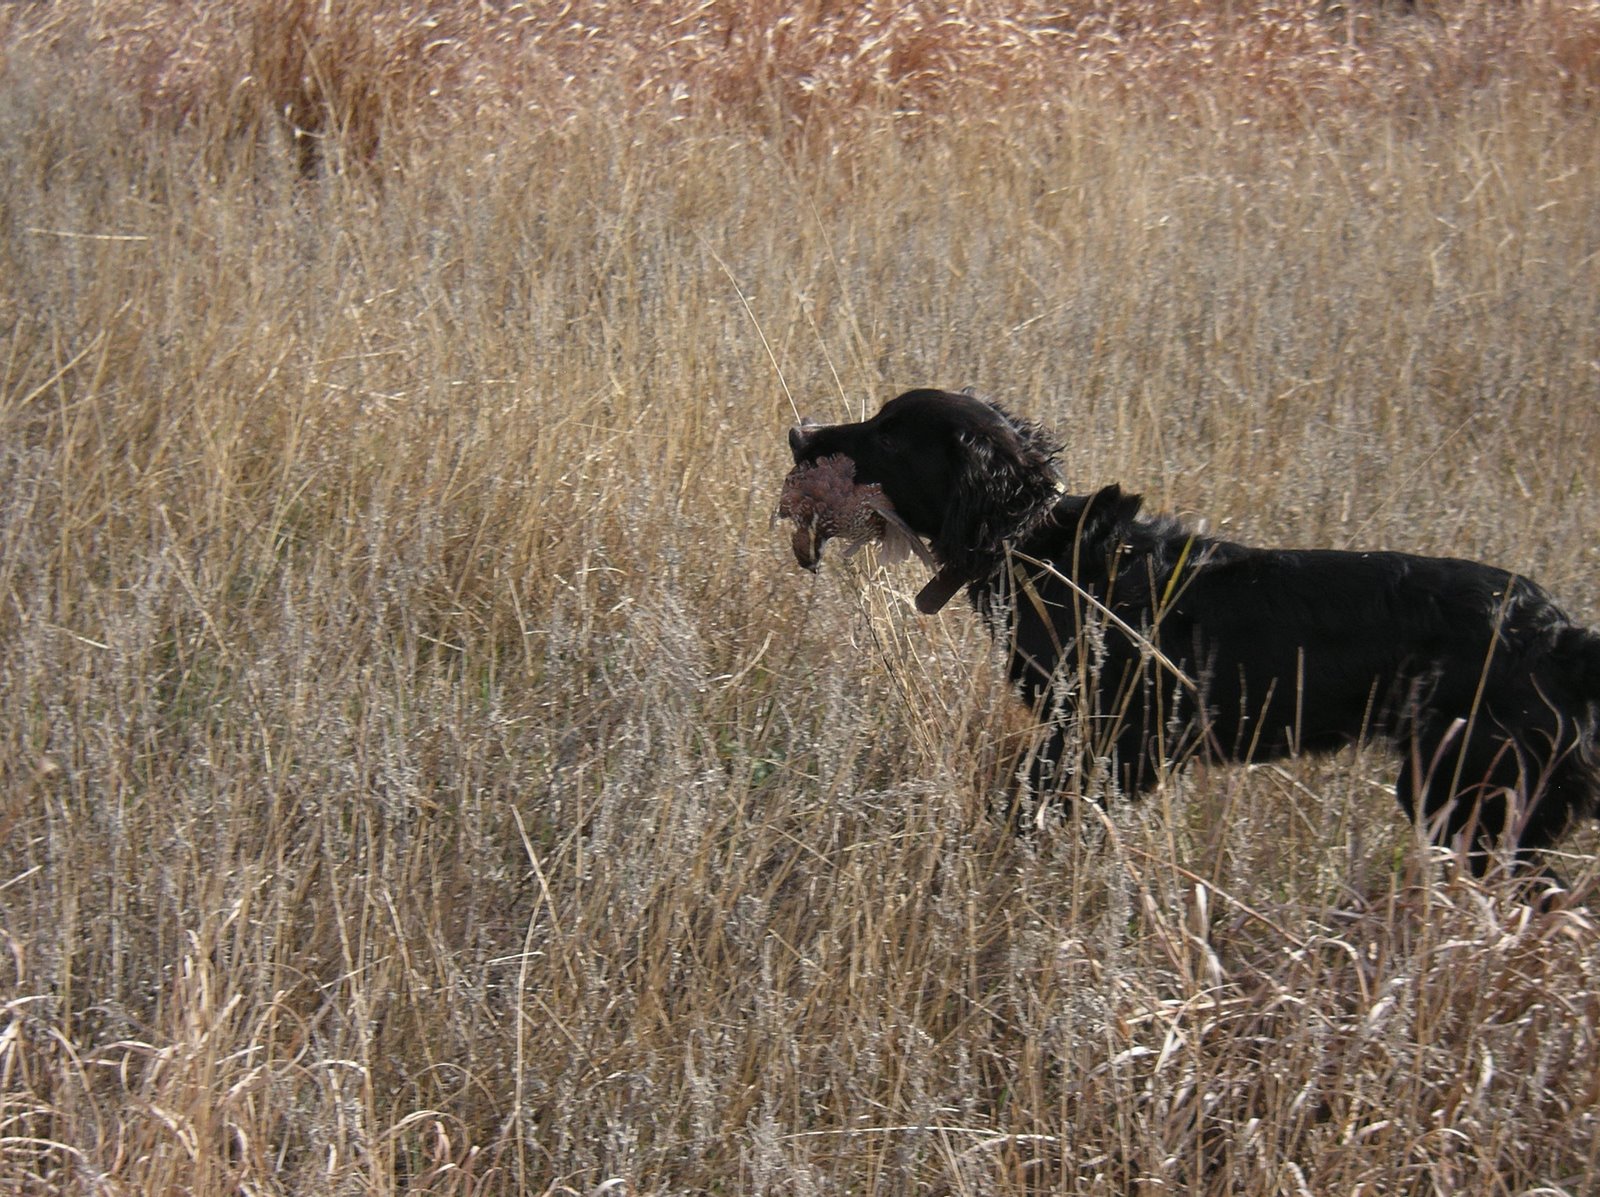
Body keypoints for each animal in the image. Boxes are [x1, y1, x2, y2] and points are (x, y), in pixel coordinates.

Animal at [782, 387, 1600, 874]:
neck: (1046, 551)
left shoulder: (1103, 743)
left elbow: (1015, 808)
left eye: (891, 437)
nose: (797, 434)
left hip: (1466, 795)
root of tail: (1563, 637)